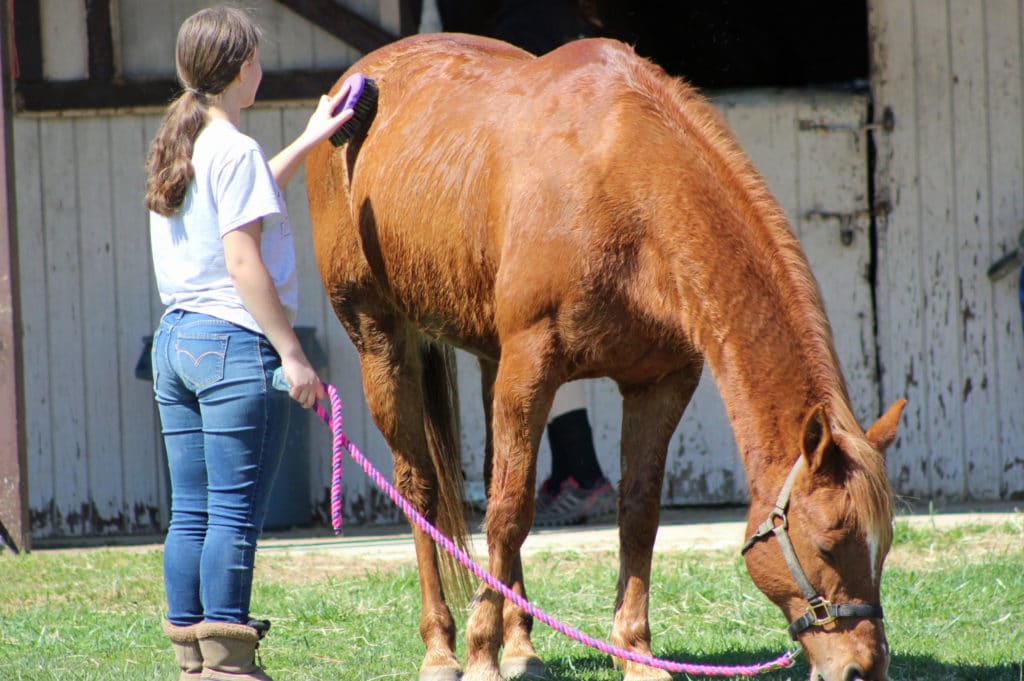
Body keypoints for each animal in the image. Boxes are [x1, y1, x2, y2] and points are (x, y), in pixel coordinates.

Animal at [303, 34, 905, 679]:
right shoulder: (531, 366)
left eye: (885, 544)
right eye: (826, 544)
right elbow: (509, 514)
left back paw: (523, 647)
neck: (624, 188)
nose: (863, 667)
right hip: (381, 340)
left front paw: (635, 652)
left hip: (490, 358)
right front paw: (481, 653)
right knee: (421, 490)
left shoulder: (660, 381)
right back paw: (442, 649)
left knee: (492, 477)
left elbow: (636, 514)